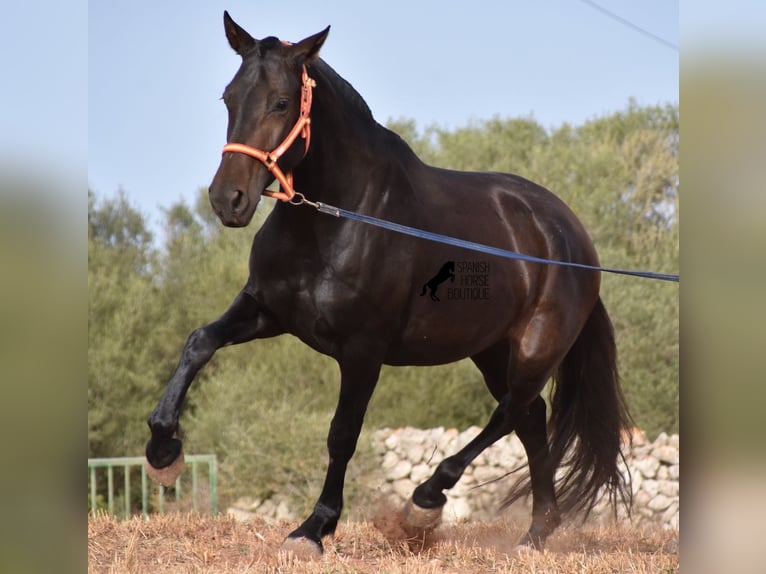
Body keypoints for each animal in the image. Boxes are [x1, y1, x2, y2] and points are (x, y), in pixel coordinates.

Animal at [147, 11, 632, 560]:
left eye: (281, 102)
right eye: (228, 97)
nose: (227, 199)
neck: (338, 217)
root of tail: (571, 235)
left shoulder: (363, 349)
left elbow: (343, 433)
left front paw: (313, 528)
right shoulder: (265, 311)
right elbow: (199, 343)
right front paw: (162, 451)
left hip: (536, 347)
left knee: (510, 412)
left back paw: (425, 501)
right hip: (489, 349)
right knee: (529, 417)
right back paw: (535, 533)